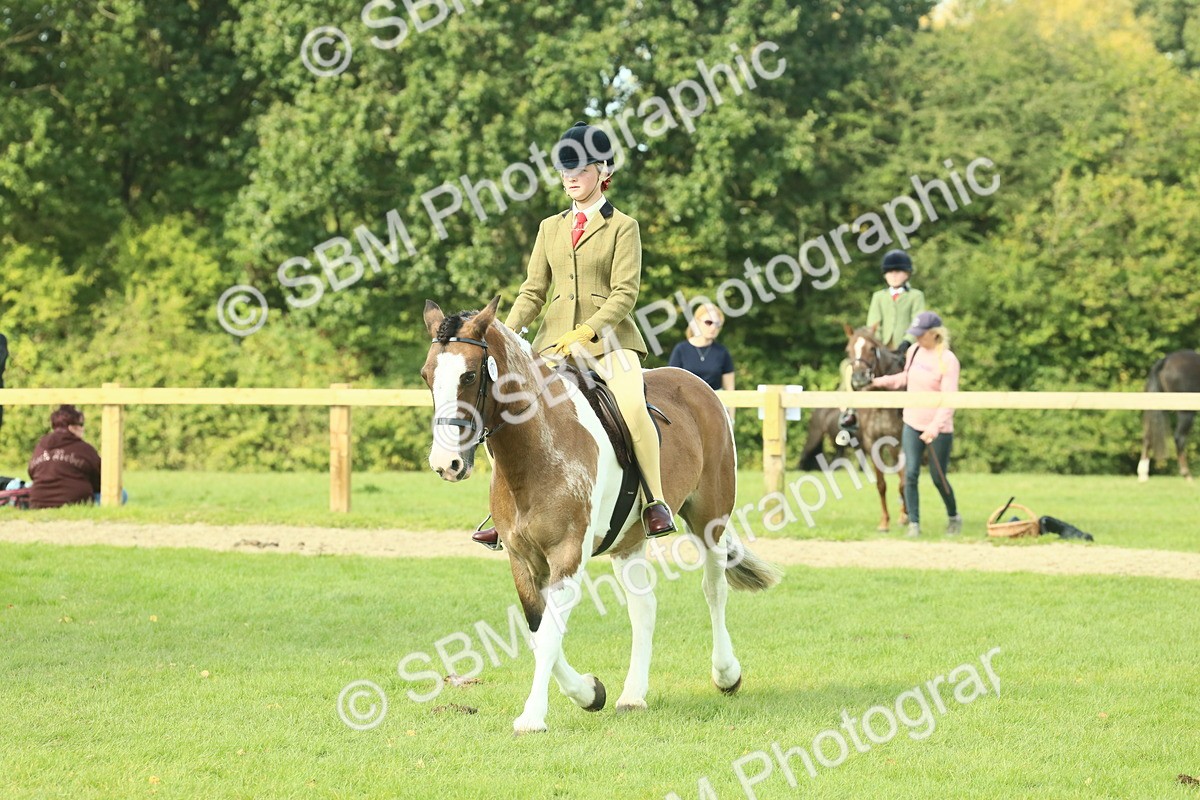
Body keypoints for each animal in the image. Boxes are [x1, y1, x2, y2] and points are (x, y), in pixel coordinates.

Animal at [420, 297, 781, 734]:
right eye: (427, 376)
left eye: (470, 375)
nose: (446, 464)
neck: (534, 452)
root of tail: (697, 384)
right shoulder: (522, 559)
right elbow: (537, 630)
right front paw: (590, 692)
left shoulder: (567, 554)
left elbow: (550, 633)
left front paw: (533, 716)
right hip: (630, 541)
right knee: (643, 608)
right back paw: (632, 696)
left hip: (710, 519)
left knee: (714, 590)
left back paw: (726, 674)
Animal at [843, 324, 909, 531]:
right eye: (848, 350)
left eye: (872, 349)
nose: (859, 378)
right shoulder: (872, 443)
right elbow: (881, 484)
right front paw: (884, 522)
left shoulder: (900, 443)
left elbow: (903, 482)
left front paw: (905, 517)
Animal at [1137, 349, 1200, 482]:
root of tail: (1165, 360)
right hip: (1186, 413)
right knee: (1179, 438)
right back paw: (1187, 475)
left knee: (1147, 436)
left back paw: (1143, 474)